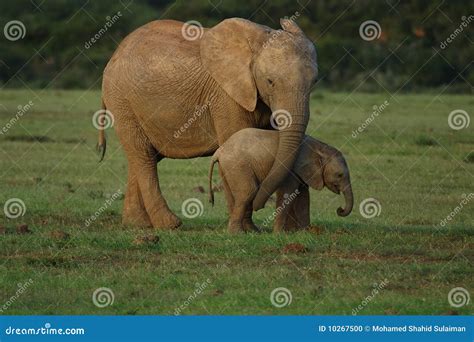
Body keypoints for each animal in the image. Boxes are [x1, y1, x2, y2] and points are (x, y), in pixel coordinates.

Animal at [97, 18, 318, 227]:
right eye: (270, 81)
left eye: (314, 82)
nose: (260, 206)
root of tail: (115, 53)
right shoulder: (225, 95)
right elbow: (234, 141)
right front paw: (246, 229)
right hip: (122, 101)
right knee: (143, 156)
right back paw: (169, 224)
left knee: (144, 156)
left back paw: (138, 224)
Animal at [207, 127, 352, 234]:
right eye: (339, 175)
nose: (339, 209)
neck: (320, 148)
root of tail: (219, 152)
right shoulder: (291, 169)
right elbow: (287, 194)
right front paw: (278, 234)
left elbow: (303, 197)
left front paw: (307, 232)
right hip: (238, 165)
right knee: (248, 192)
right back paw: (237, 233)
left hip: (227, 167)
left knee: (232, 195)